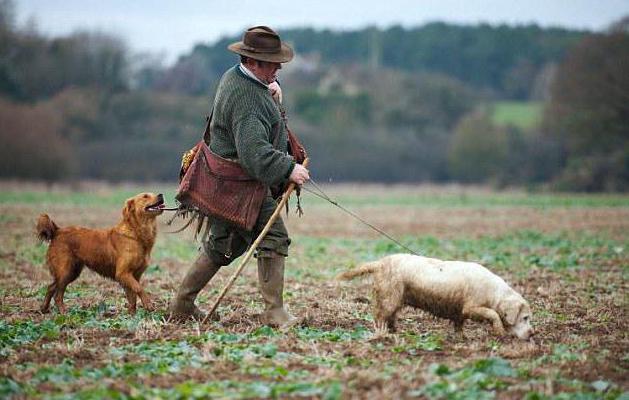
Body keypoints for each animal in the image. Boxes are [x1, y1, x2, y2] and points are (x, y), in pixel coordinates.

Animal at [36, 192, 164, 314]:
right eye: (145, 196)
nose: (161, 195)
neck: (136, 233)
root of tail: (57, 231)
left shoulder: (134, 275)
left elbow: (132, 297)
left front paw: (132, 315)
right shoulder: (122, 273)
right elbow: (139, 288)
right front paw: (148, 304)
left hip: (72, 271)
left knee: (51, 287)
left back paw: (44, 309)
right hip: (65, 271)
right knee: (58, 294)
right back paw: (63, 312)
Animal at [338, 255, 536, 340]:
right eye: (525, 317)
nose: (532, 333)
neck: (494, 292)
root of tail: (380, 263)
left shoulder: (459, 312)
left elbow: (459, 324)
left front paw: (461, 337)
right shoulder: (470, 308)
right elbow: (493, 314)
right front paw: (499, 331)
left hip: (395, 299)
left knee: (390, 317)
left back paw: (394, 331)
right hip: (389, 297)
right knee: (380, 316)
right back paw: (382, 335)